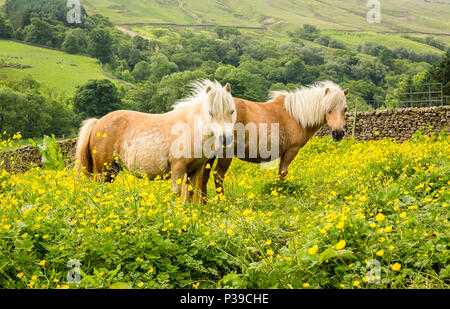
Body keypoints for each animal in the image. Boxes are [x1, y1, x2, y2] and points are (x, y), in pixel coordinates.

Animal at [74, 79, 236, 202]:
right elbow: (176, 193)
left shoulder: (194, 170)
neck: (190, 127)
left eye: (232, 111)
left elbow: (189, 193)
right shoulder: (178, 168)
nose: (226, 138)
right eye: (210, 112)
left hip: (112, 170)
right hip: (103, 170)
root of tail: (98, 122)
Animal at [199, 80, 350, 200]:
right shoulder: (291, 150)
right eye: (328, 109)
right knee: (218, 175)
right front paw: (278, 193)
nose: (338, 133)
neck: (295, 116)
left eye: (345, 109)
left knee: (204, 177)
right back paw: (222, 202)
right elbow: (282, 172)